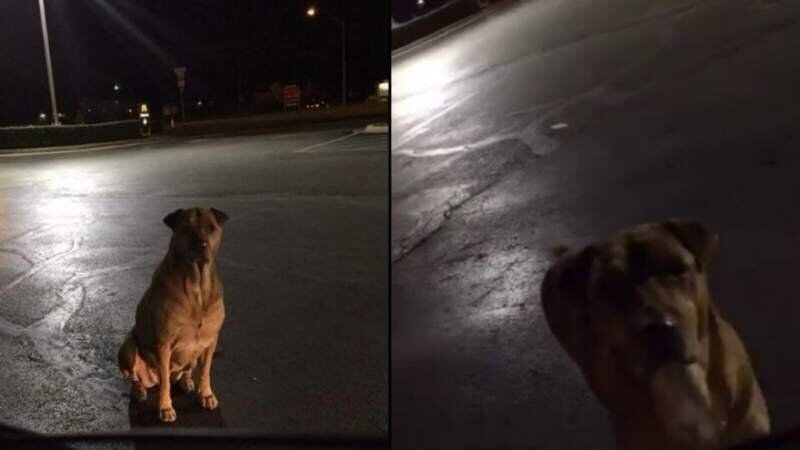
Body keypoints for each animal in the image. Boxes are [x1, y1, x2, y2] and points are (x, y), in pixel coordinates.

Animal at [117, 207, 228, 422]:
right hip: (128, 346)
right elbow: (166, 384)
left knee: (185, 370)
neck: (197, 285)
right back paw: (139, 391)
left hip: (193, 356)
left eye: (211, 228)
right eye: (185, 228)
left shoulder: (211, 340)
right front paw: (165, 408)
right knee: (137, 378)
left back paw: (186, 381)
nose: (200, 245)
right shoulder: (164, 344)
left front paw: (206, 394)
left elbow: (206, 371)